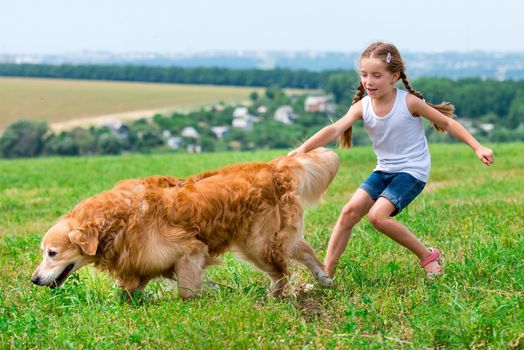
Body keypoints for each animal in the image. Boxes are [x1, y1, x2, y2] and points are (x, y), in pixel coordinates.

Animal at [30, 148, 340, 298]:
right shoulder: (146, 263)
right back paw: (324, 279)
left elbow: (186, 290)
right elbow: (129, 293)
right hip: (265, 238)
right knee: (302, 249)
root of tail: (274, 166)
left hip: (258, 243)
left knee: (282, 271)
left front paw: (205, 296)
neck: (120, 220)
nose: (33, 279)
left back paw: (273, 296)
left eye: (52, 253)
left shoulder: (190, 250)